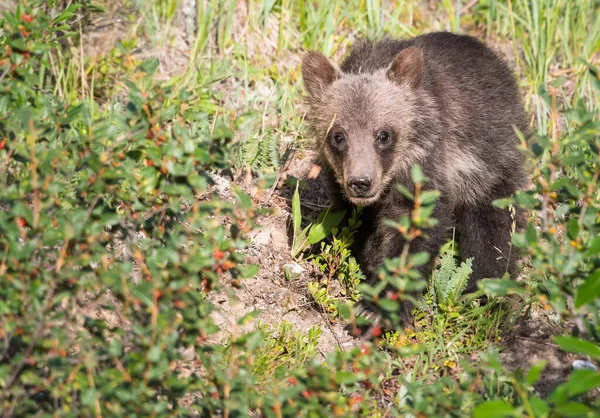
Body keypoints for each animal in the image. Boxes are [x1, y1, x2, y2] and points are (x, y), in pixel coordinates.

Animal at [302, 32, 528, 322]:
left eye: (384, 135)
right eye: (338, 136)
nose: (361, 183)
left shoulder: (426, 165)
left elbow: (412, 232)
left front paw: (378, 307)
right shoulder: (340, 183)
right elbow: (353, 219)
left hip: (490, 159)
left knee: (494, 221)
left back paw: (486, 290)